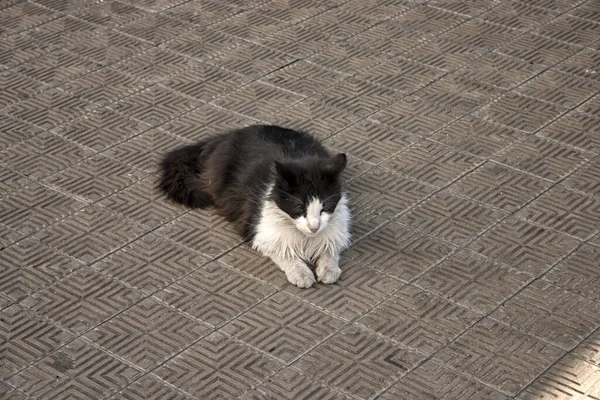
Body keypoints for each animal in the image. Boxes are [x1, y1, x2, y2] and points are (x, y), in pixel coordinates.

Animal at [159, 124, 352, 288]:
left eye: (324, 208)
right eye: (300, 210)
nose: (314, 228)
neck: (306, 238)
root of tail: (228, 135)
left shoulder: (336, 233)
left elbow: (329, 251)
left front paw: (329, 270)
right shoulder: (260, 233)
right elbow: (286, 254)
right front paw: (301, 274)